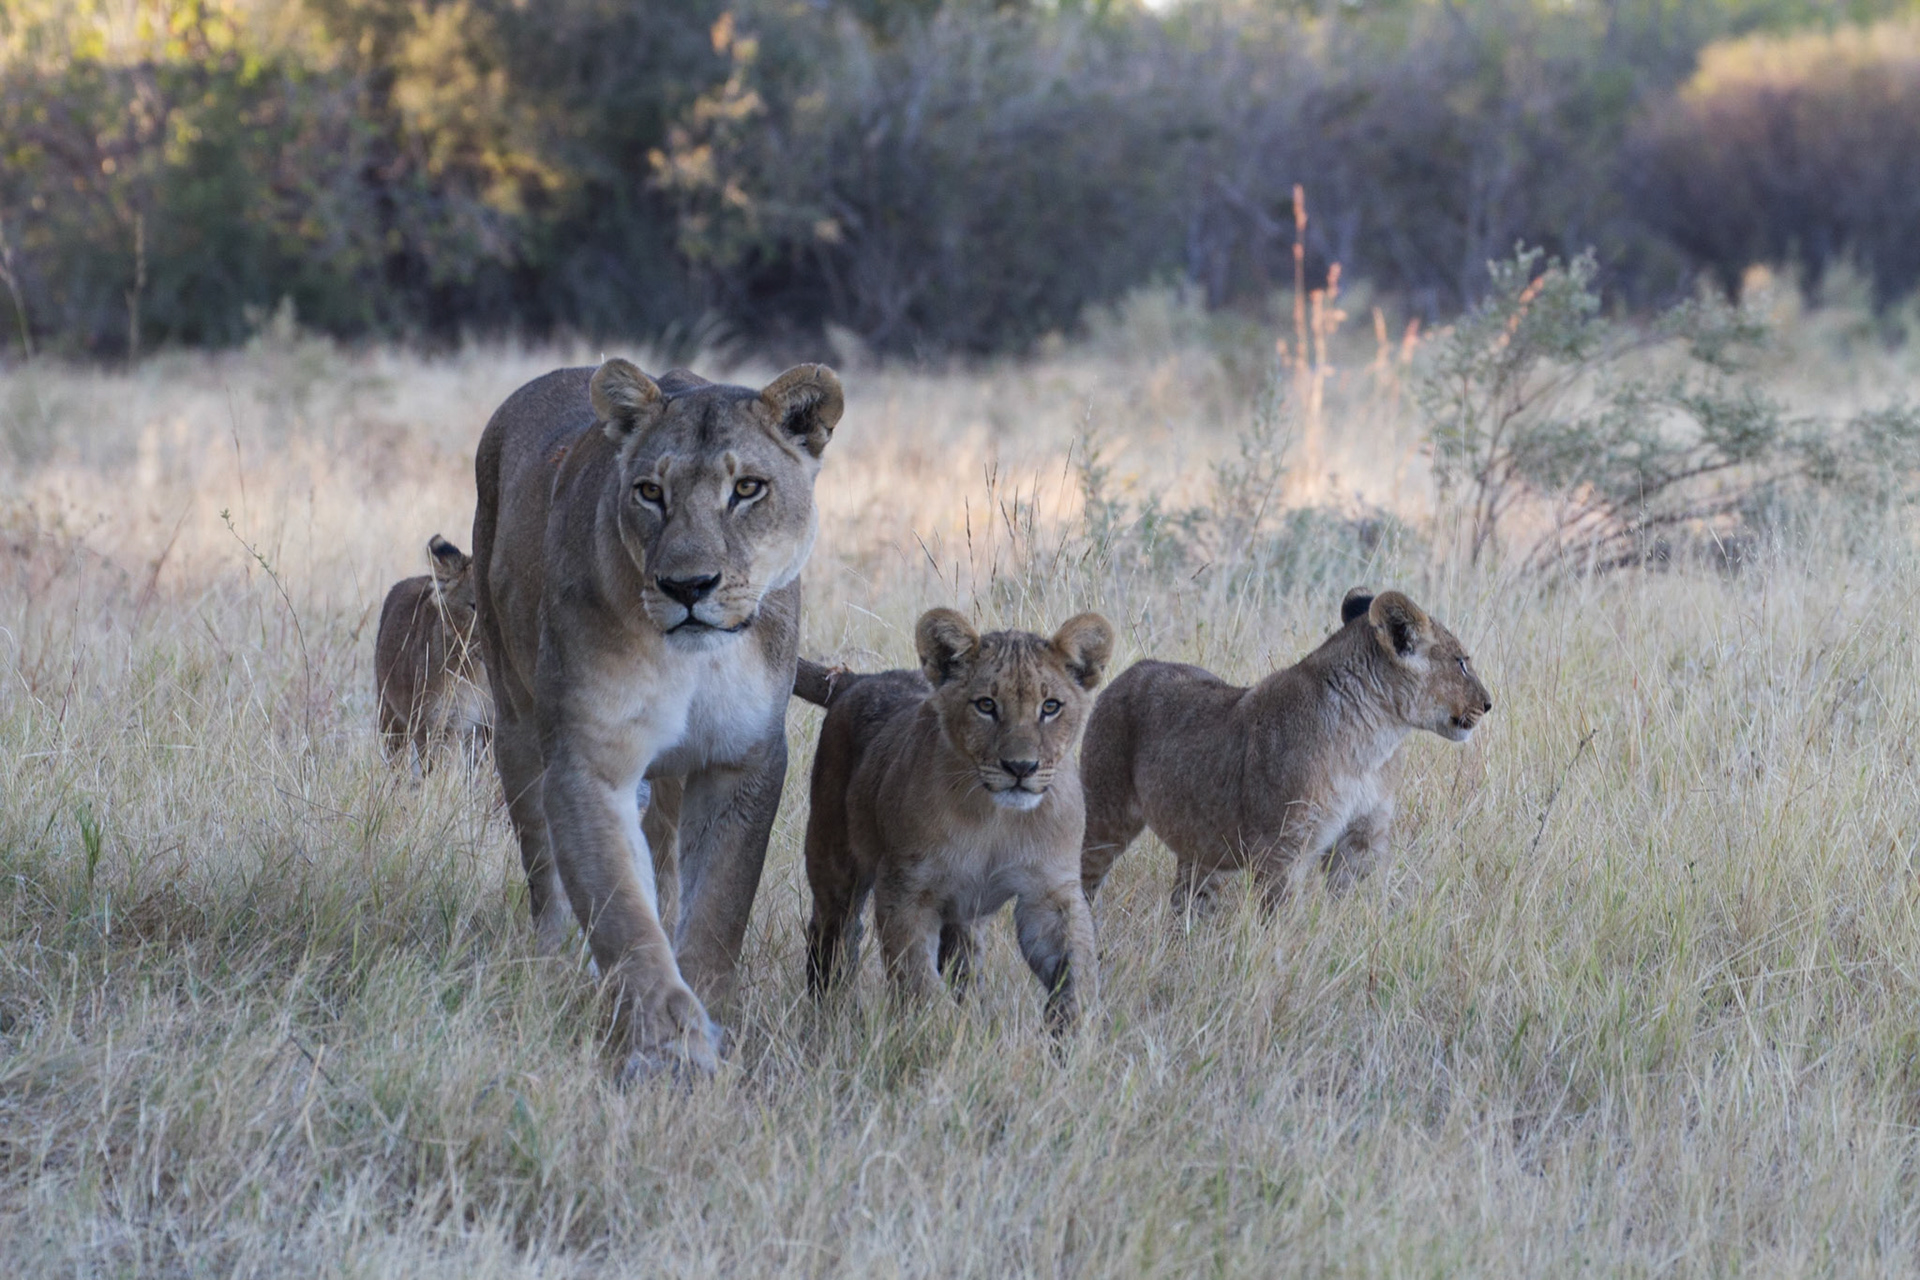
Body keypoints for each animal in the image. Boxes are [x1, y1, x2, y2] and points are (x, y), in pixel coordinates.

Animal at [472, 358, 842, 1080]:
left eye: (748, 488)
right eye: (649, 492)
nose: (687, 587)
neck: (694, 661)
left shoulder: (743, 760)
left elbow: (718, 908)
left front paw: (705, 1015)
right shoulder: (589, 760)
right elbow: (623, 913)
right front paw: (670, 1048)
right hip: (516, 721)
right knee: (545, 867)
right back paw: (552, 964)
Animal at [795, 608, 1113, 1034]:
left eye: (1050, 707)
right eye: (986, 705)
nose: (1020, 768)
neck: (995, 817)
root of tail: (856, 679)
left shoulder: (1050, 890)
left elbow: (1077, 968)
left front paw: (1075, 1034)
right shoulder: (906, 890)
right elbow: (919, 979)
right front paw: (939, 1033)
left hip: (966, 911)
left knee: (964, 958)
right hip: (835, 862)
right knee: (834, 934)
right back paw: (831, 1014)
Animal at [1079, 588, 1492, 915]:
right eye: (1461, 662)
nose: (1488, 704)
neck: (1372, 742)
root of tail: (1130, 671)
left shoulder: (1362, 838)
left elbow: (1356, 905)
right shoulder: (1282, 848)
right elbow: (1281, 918)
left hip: (1201, 845)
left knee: (1188, 902)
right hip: (1105, 814)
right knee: (1082, 879)